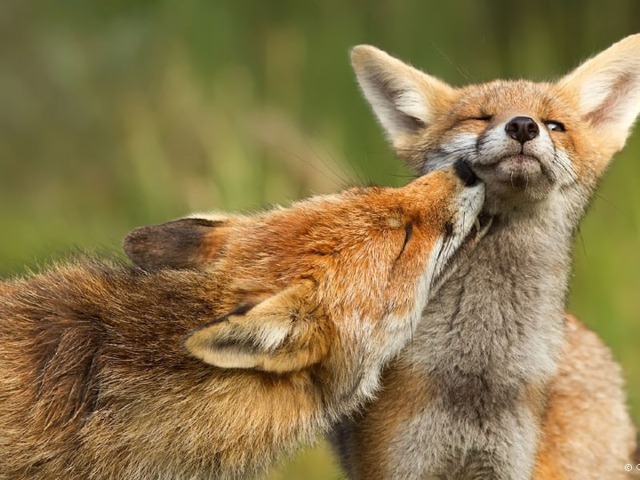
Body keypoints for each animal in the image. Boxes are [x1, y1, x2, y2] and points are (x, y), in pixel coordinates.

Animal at [329, 35, 640, 479]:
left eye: (554, 125)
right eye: (480, 118)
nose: (523, 125)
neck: (478, 374)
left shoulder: (507, 463)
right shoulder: (398, 462)